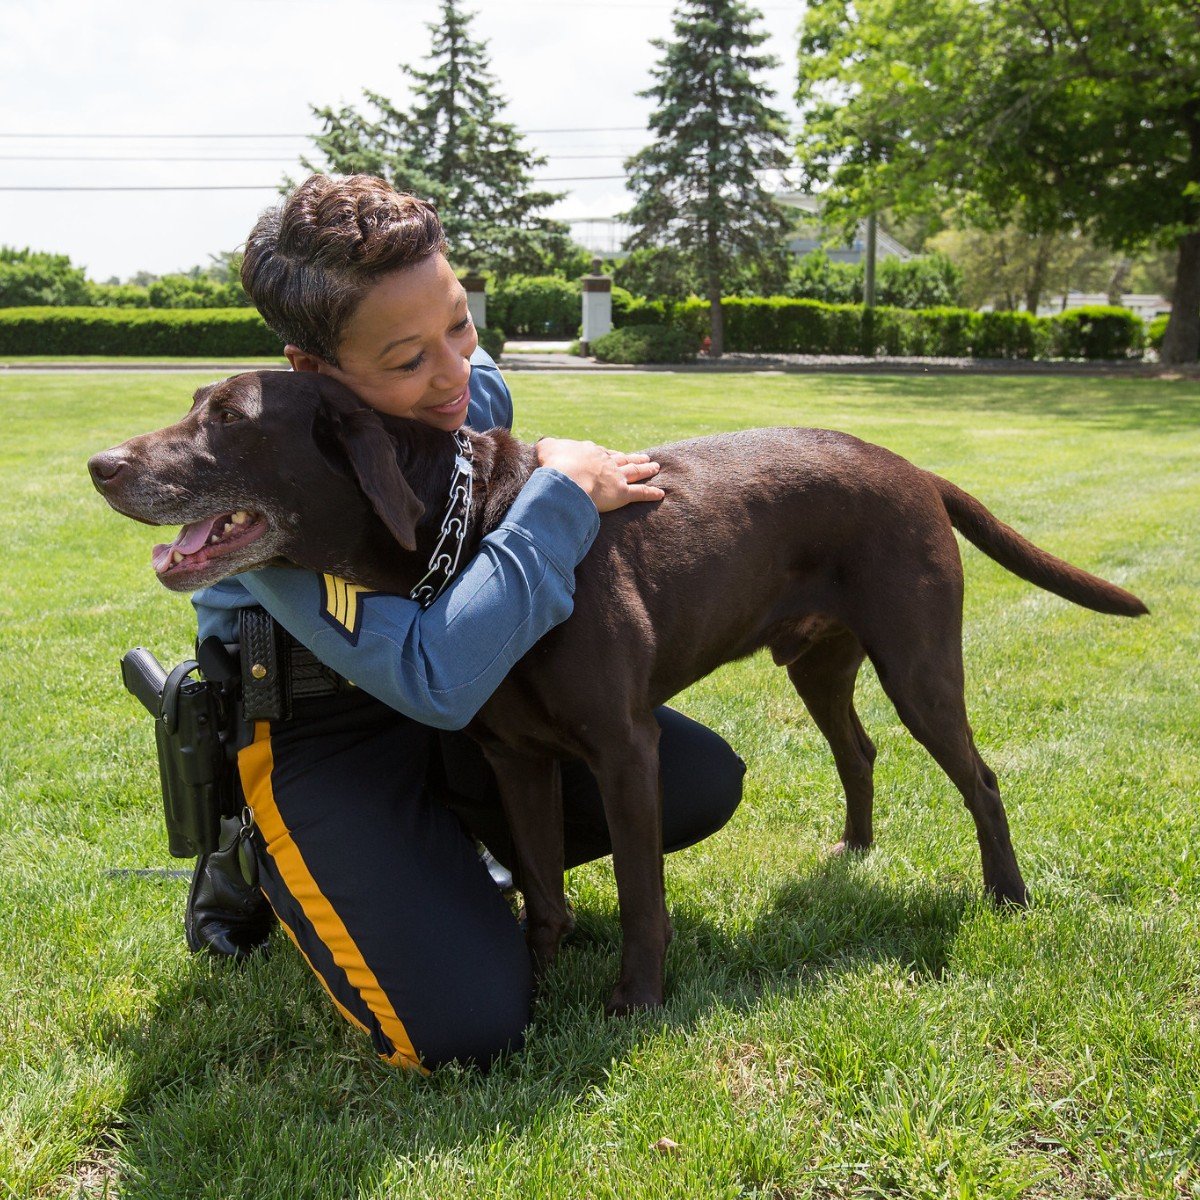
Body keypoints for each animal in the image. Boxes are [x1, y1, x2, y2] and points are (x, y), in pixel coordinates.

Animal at [91, 372, 1142, 1012]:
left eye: (230, 418)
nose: (100, 465)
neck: (474, 528)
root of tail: (916, 469)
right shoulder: (517, 759)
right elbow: (543, 887)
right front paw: (540, 976)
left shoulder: (625, 748)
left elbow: (641, 893)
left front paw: (635, 1001)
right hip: (818, 665)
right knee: (860, 749)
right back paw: (855, 849)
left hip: (918, 663)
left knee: (981, 778)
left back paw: (1006, 895)